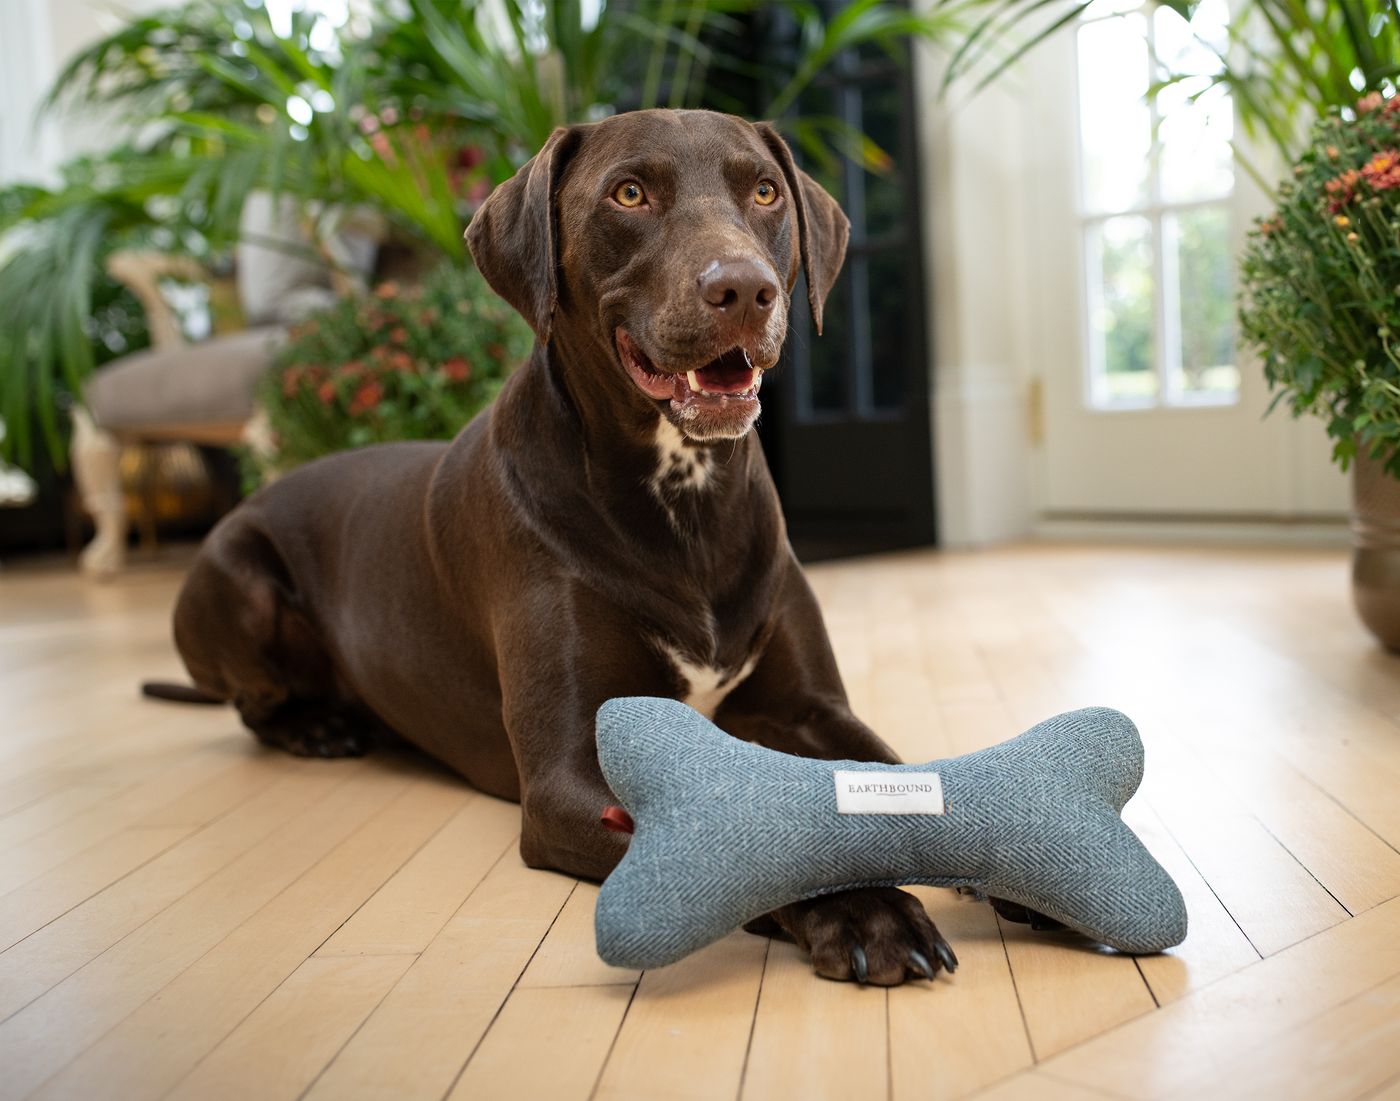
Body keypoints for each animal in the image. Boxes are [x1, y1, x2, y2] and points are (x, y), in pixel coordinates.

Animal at [169, 109, 957, 986]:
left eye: (764, 192)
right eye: (629, 193)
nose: (744, 288)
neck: (684, 495)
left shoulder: (811, 709)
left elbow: (908, 775)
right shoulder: (563, 776)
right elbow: (733, 846)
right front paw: (863, 905)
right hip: (238, 579)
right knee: (251, 702)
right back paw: (319, 726)